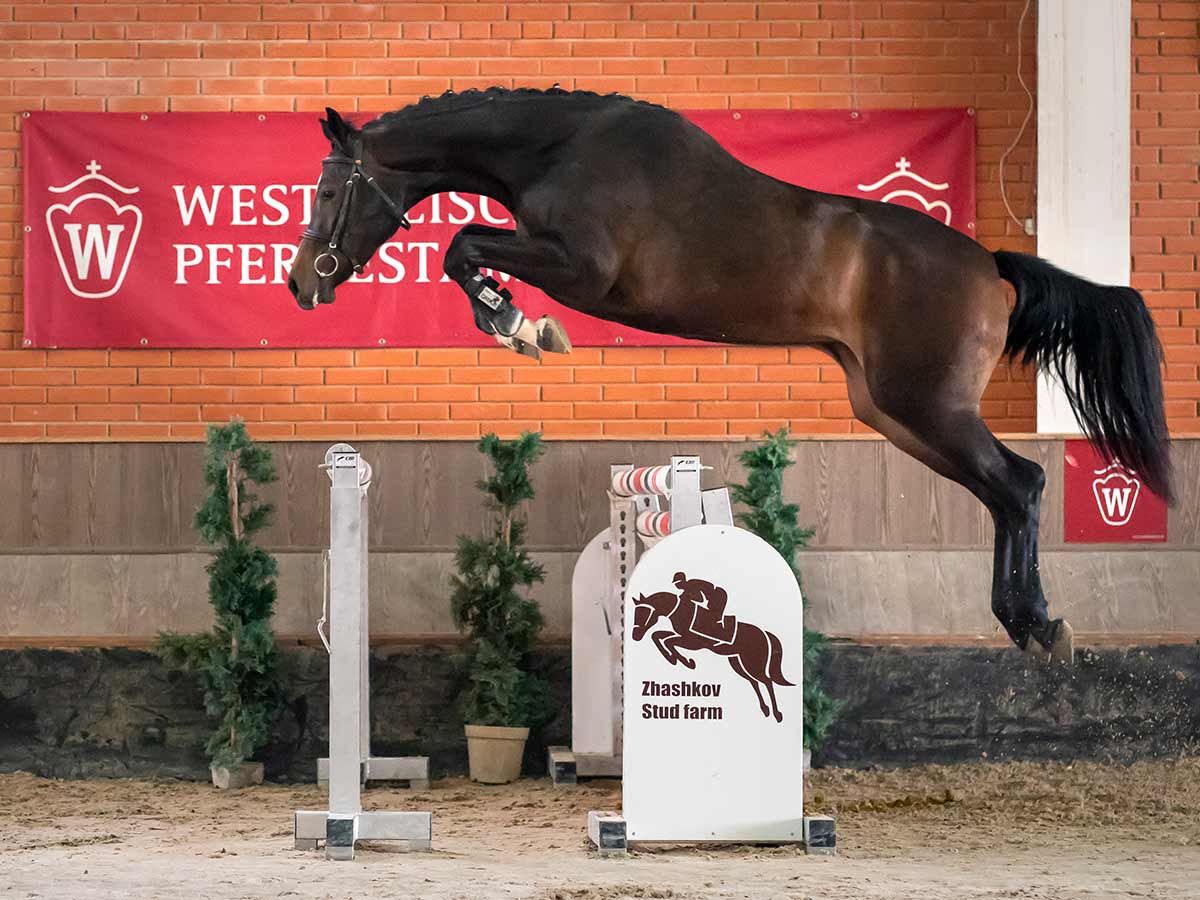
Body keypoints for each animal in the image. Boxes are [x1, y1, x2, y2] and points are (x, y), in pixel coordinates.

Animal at [288, 87, 1174, 665]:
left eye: (329, 189)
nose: (302, 283)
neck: (558, 148)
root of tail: (991, 266)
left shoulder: (582, 271)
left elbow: (462, 244)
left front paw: (522, 328)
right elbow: (465, 247)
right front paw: (515, 324)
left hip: (927, 406)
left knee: (1022, 483)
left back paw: (1040, 627)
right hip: (893, 412)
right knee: (1005, 492)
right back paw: (1028, 626)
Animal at [631, 589, 794, 722]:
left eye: (644, 613)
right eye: (635, 614)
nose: (635, 636)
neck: (681, 612)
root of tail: (764, 633)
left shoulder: (692, 642)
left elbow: (667, 640)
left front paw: (685, 661)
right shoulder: (682, 637)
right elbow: (657, 635)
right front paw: (674, 658)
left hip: (753, 663)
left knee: (767, 681)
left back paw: (777, 714)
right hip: (737, 662)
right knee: (754, 681)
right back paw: (765, 709)